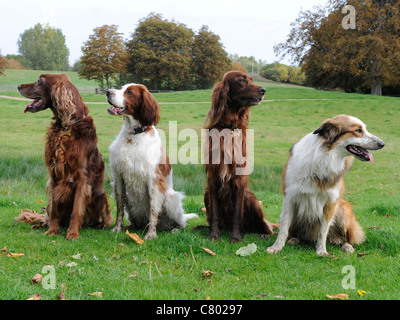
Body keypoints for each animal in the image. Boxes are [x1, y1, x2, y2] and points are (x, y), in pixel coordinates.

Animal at [17, 74, 111, 240]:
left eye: (40, 81)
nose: (18, 86)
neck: (67, 127)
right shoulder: (54, 174)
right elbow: (55, 209)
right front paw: (51, 231)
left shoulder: (81, 177)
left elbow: (76, 210)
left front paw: (72, 233)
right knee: (48, 212)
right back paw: (42, 225)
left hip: (101, 195)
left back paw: (99, 224)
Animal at [106, 84, 198, 239]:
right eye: (121, 87)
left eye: (129, 92)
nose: (107, 91)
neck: (133, 135)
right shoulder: (118, 177)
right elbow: (119, 208)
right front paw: (117, 228)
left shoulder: (154, 180)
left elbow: (153, 210)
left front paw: (151, 234)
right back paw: (131, 226)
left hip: (171, 199)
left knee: (181, 223)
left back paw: (175, 229)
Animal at [205, 72, 276, 242]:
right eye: (242, 80)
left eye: (251, 79)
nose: (263, 90)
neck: (229, 128)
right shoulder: (213, 178)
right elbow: (214, 213)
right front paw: (213, 235)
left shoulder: (239, 181)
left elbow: (237, 213)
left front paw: (236, 237)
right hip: (206, 194)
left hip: (251, 198)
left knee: (266, 226)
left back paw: (264, 233)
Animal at [268, 114, 386, 256]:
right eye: (358, 130)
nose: (382, 144)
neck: (325, 157)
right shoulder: (290, 197)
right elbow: (284, 227)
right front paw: (276, 247)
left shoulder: (331, 201)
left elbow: (323, 230)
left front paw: (321, 251)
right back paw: (294, 239)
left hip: (344, 210)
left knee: (346, 238)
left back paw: (347, 246)